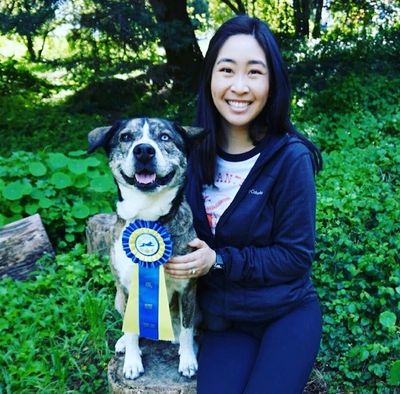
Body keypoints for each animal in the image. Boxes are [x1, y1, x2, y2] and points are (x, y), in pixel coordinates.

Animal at [87, 117, 206, 378]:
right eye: (125, 137)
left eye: (165, 137)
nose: (143, 150)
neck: (147, 215)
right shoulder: (127, 288)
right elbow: (131, 330)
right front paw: (132, 362)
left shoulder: (187, 288)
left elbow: (187, 328)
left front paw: (188, 360)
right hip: (117, 298)